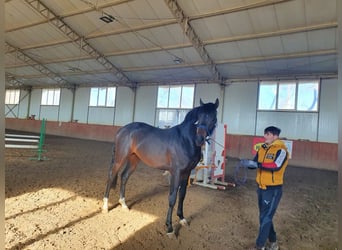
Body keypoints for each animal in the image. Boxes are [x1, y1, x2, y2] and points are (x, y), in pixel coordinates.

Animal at [102, 98, 219, 234]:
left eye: (213, 118)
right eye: (198, 118)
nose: (200, 139)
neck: (185, 139)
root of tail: (122, 130)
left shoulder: (187, 172)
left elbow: (182, 195)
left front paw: (182, 219)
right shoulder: (176, 172)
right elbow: (172, 197)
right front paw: (169, 227)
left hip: (133, 159)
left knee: (124, 176)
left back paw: (124, 204)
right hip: (119, 159)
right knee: (111, 177)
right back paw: (105, 207)